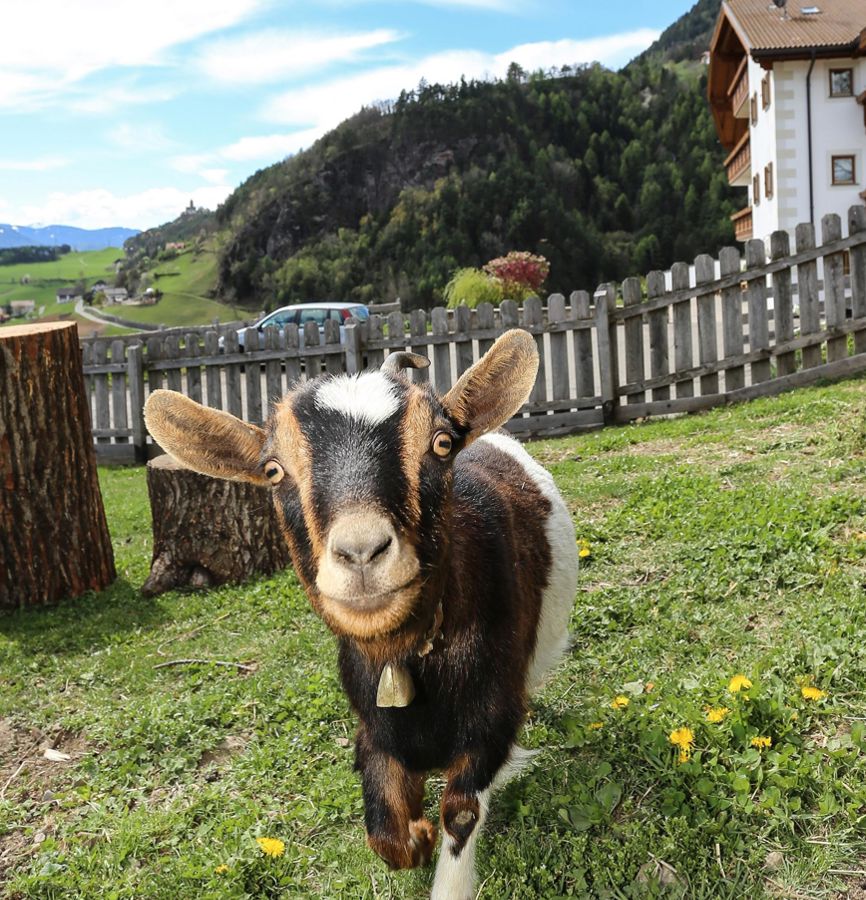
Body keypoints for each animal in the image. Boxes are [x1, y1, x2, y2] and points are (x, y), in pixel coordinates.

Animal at [143, 330, 572, 900]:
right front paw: (414, 836)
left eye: (441, 444)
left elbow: (462, 811)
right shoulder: (373, 724)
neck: (408, 655)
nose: (362, 552)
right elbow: (386, 832)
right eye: (272, 470)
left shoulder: (491, 712)